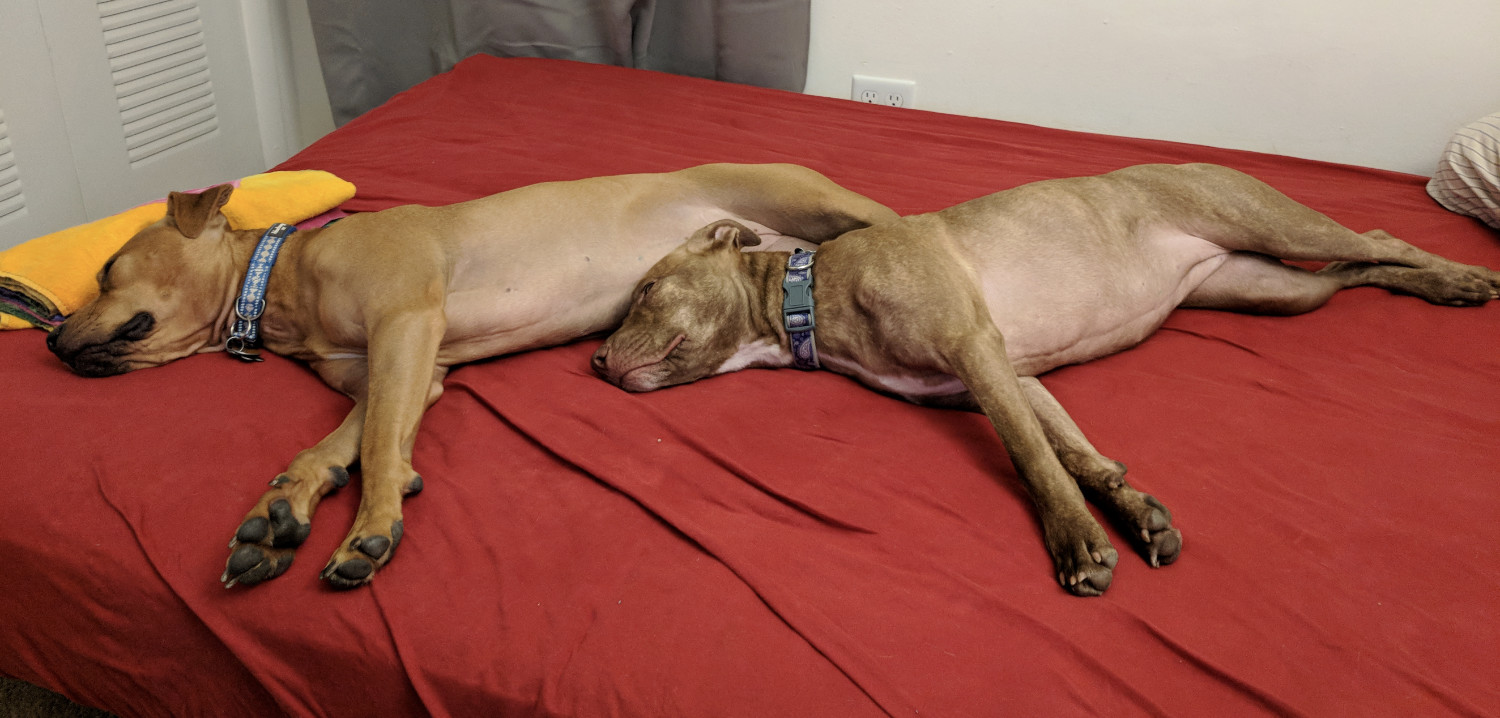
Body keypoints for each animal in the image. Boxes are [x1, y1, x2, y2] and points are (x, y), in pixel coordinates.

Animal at [46, 164, 894, 590]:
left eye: (106, 268)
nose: (51, 338)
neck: (279, 285)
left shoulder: (406, 326)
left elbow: (378, 448)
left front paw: (370, 526)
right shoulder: (395, 373)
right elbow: (340, 445)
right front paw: (282, 508)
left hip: (819, 201)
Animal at [588, 163, 1500, 596]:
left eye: (644, 291)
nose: (594, 362)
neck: (809, 297)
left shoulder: (977, 352)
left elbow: (1035, 462)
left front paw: (1079, 545)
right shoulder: (1012, 375)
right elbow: (1076, 454)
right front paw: (1132, 509)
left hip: (1273, 226)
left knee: (1381, 238)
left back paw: (1460, 276)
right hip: (1273, 290)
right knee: (1360, 269)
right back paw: (1440, 287)